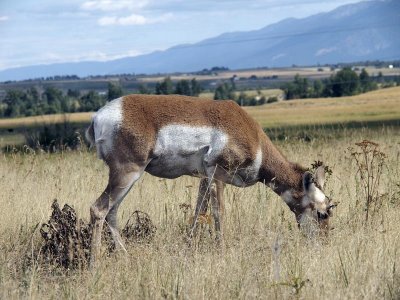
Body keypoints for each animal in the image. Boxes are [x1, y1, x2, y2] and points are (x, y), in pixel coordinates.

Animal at [86, 94, 334, 264]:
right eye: (322, 213)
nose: (324, 246)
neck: (255, 139)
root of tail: (100, 116)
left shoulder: (204, 178)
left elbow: (198, 212)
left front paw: (188, 249)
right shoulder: (217, 173)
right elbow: (218, 212)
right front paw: (222, 252)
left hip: (128, 177)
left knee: (111, 212)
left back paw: (126, 258)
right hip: (127, 173)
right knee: (98, 209)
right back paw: (94, 265)